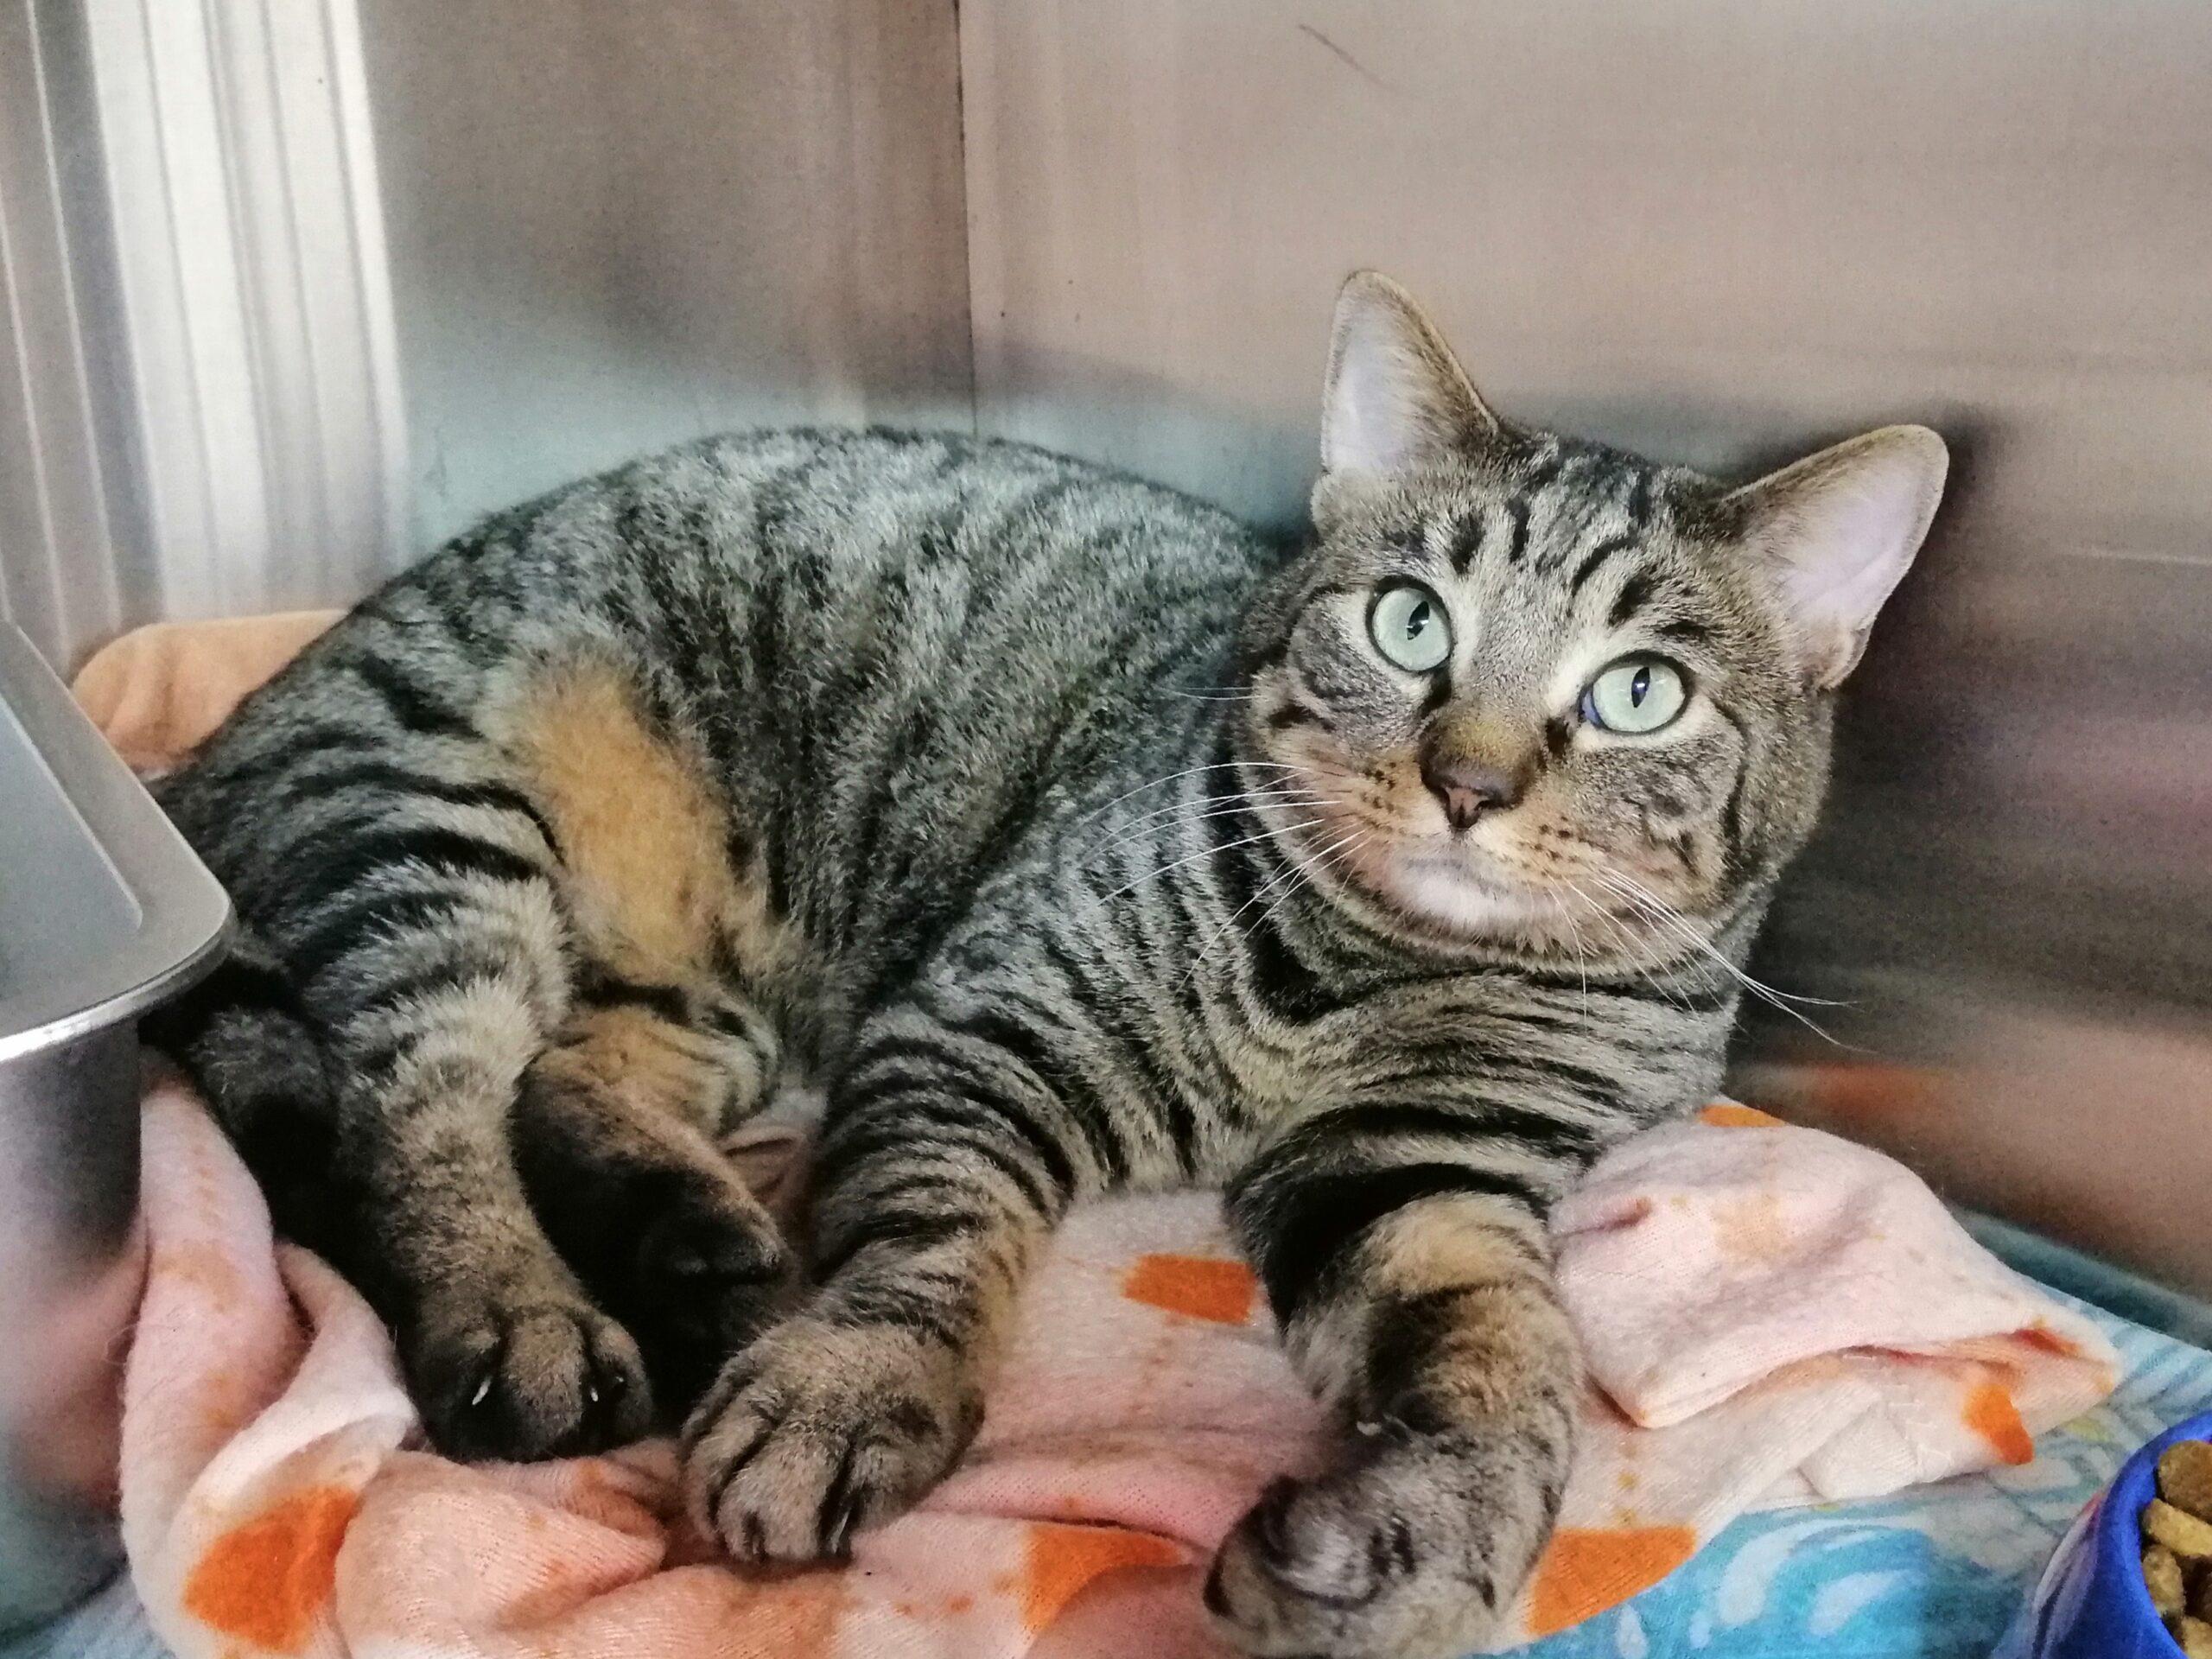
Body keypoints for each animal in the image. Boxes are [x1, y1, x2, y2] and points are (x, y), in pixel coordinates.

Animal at [149, 272, 1944, 1658]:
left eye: (1640, 694)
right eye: (1411, 624)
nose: (1470, 783)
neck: (1353, 973)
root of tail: (210, 749)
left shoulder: (1420, 1173)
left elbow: (1511, 1362)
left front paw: (1419, 1552)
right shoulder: (975, 1028)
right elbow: (932, 1241)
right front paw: (850, 1389)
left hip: (692, 995)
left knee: (555, 1073)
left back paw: (694, 1248)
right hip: (432, 824)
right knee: (417, 1110)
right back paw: (528, 1319)